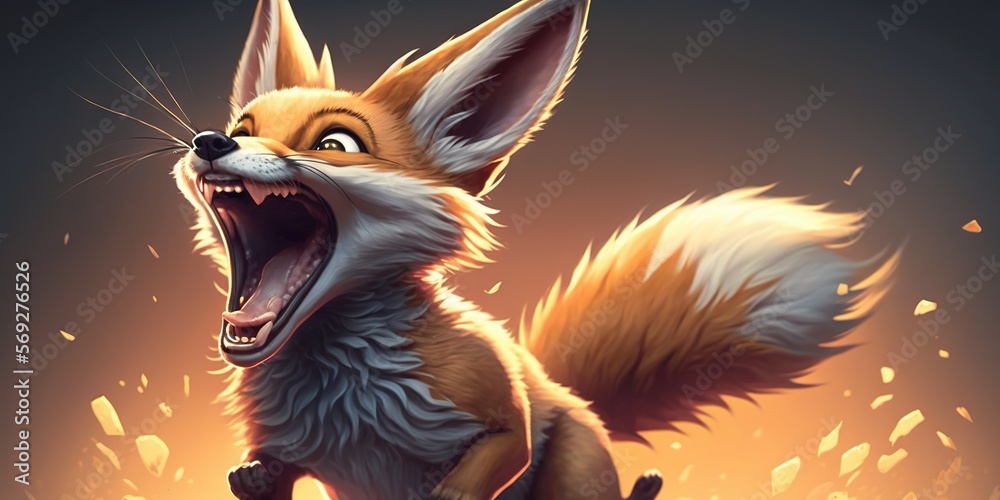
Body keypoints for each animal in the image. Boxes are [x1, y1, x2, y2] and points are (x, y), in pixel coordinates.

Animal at [168, 0, 900, 498]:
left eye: (335, 144)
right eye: (244, 125)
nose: (212, 142)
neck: (340, 398)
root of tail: (576, 395)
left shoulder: (494, 403)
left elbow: (501, 452)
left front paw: (452, 492)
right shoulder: (283, 448)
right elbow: (264, 477)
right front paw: (249, 480)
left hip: (574, 465)